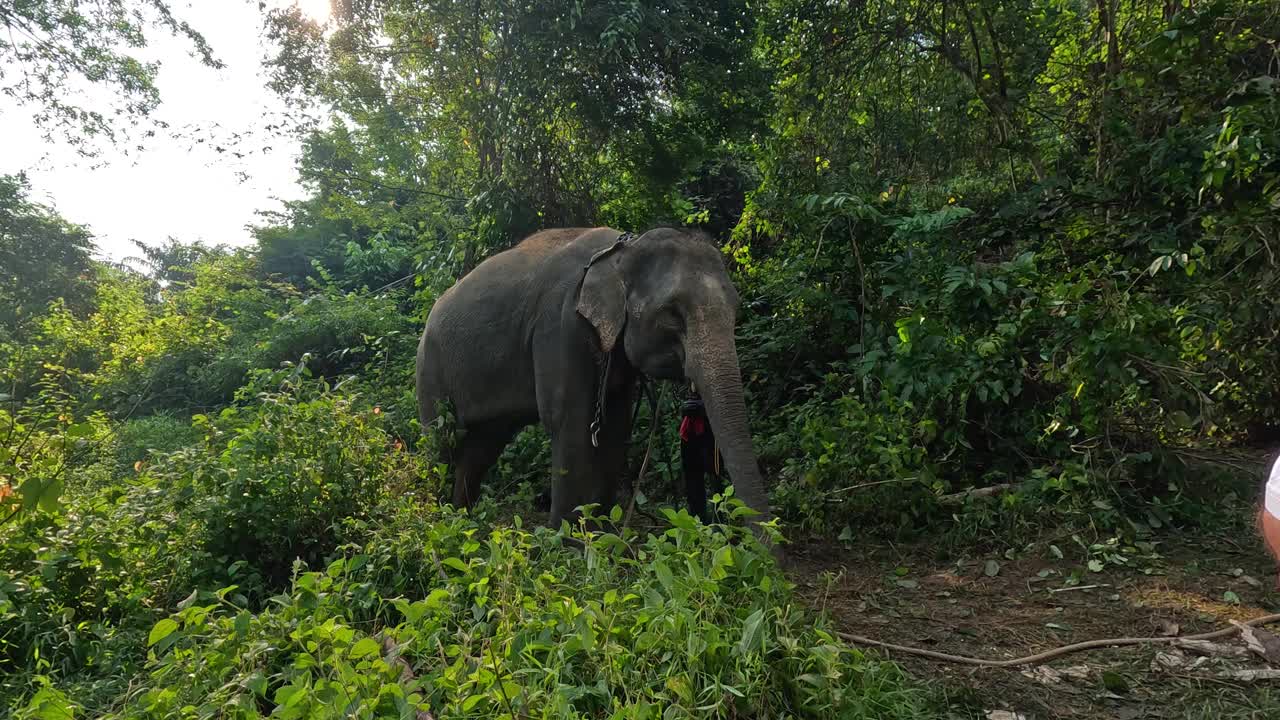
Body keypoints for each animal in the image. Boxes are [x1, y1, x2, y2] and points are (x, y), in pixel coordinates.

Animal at [419, 226, 773, 545]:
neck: (621, 251)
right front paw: (567, 545)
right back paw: (438, 520)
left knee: (483, 446)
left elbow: (615, 428)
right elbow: (569, 421)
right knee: (442, 441)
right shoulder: (559, 324)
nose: (771, 561)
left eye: (736, 308)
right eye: (672, 314)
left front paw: (604, 535)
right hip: (430, 369)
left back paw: (462, 520)